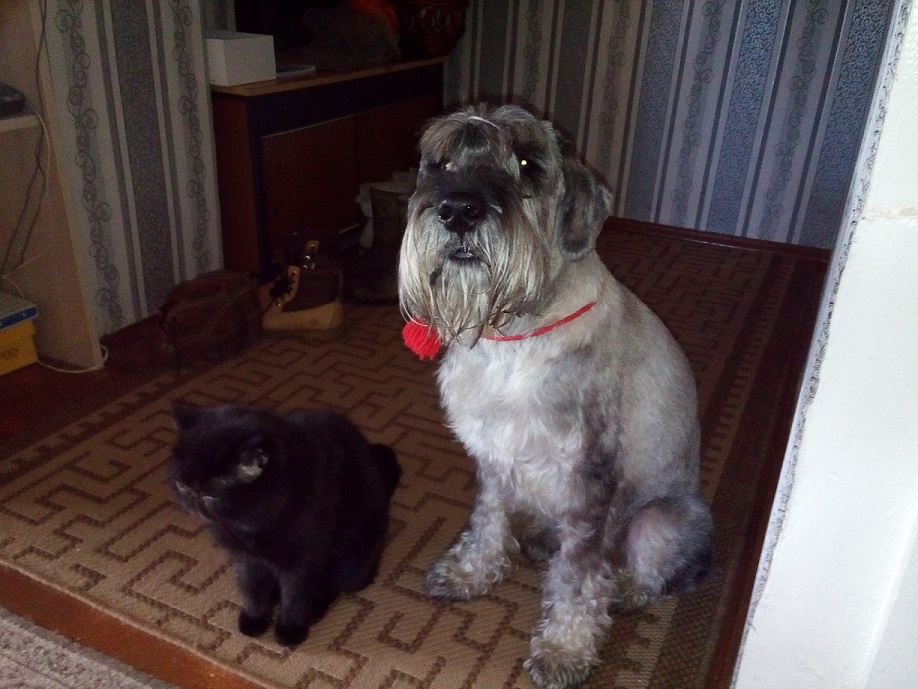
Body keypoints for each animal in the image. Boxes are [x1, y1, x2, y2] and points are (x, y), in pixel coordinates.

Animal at [168, 403, 401, 647]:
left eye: (211, 496)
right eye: (182, 486)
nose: (191, 500)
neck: (253, 526)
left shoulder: (302, 563)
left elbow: (294, 598)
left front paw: (290, 630)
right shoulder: (246, 560)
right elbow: (254, 591)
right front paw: (255, 620)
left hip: (352, 564)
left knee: (332, 585)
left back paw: (315, 609)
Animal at [398, 104, 714, 689]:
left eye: (528, 163)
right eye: (441, 163)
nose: (458, 211)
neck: (512, 335)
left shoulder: (590, 477)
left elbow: (578, 575)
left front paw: (565, 648)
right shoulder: (492, 453)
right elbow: (487, 519)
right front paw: (470, 572)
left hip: (658, 521)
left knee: (642, 571)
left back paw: (624, 589)